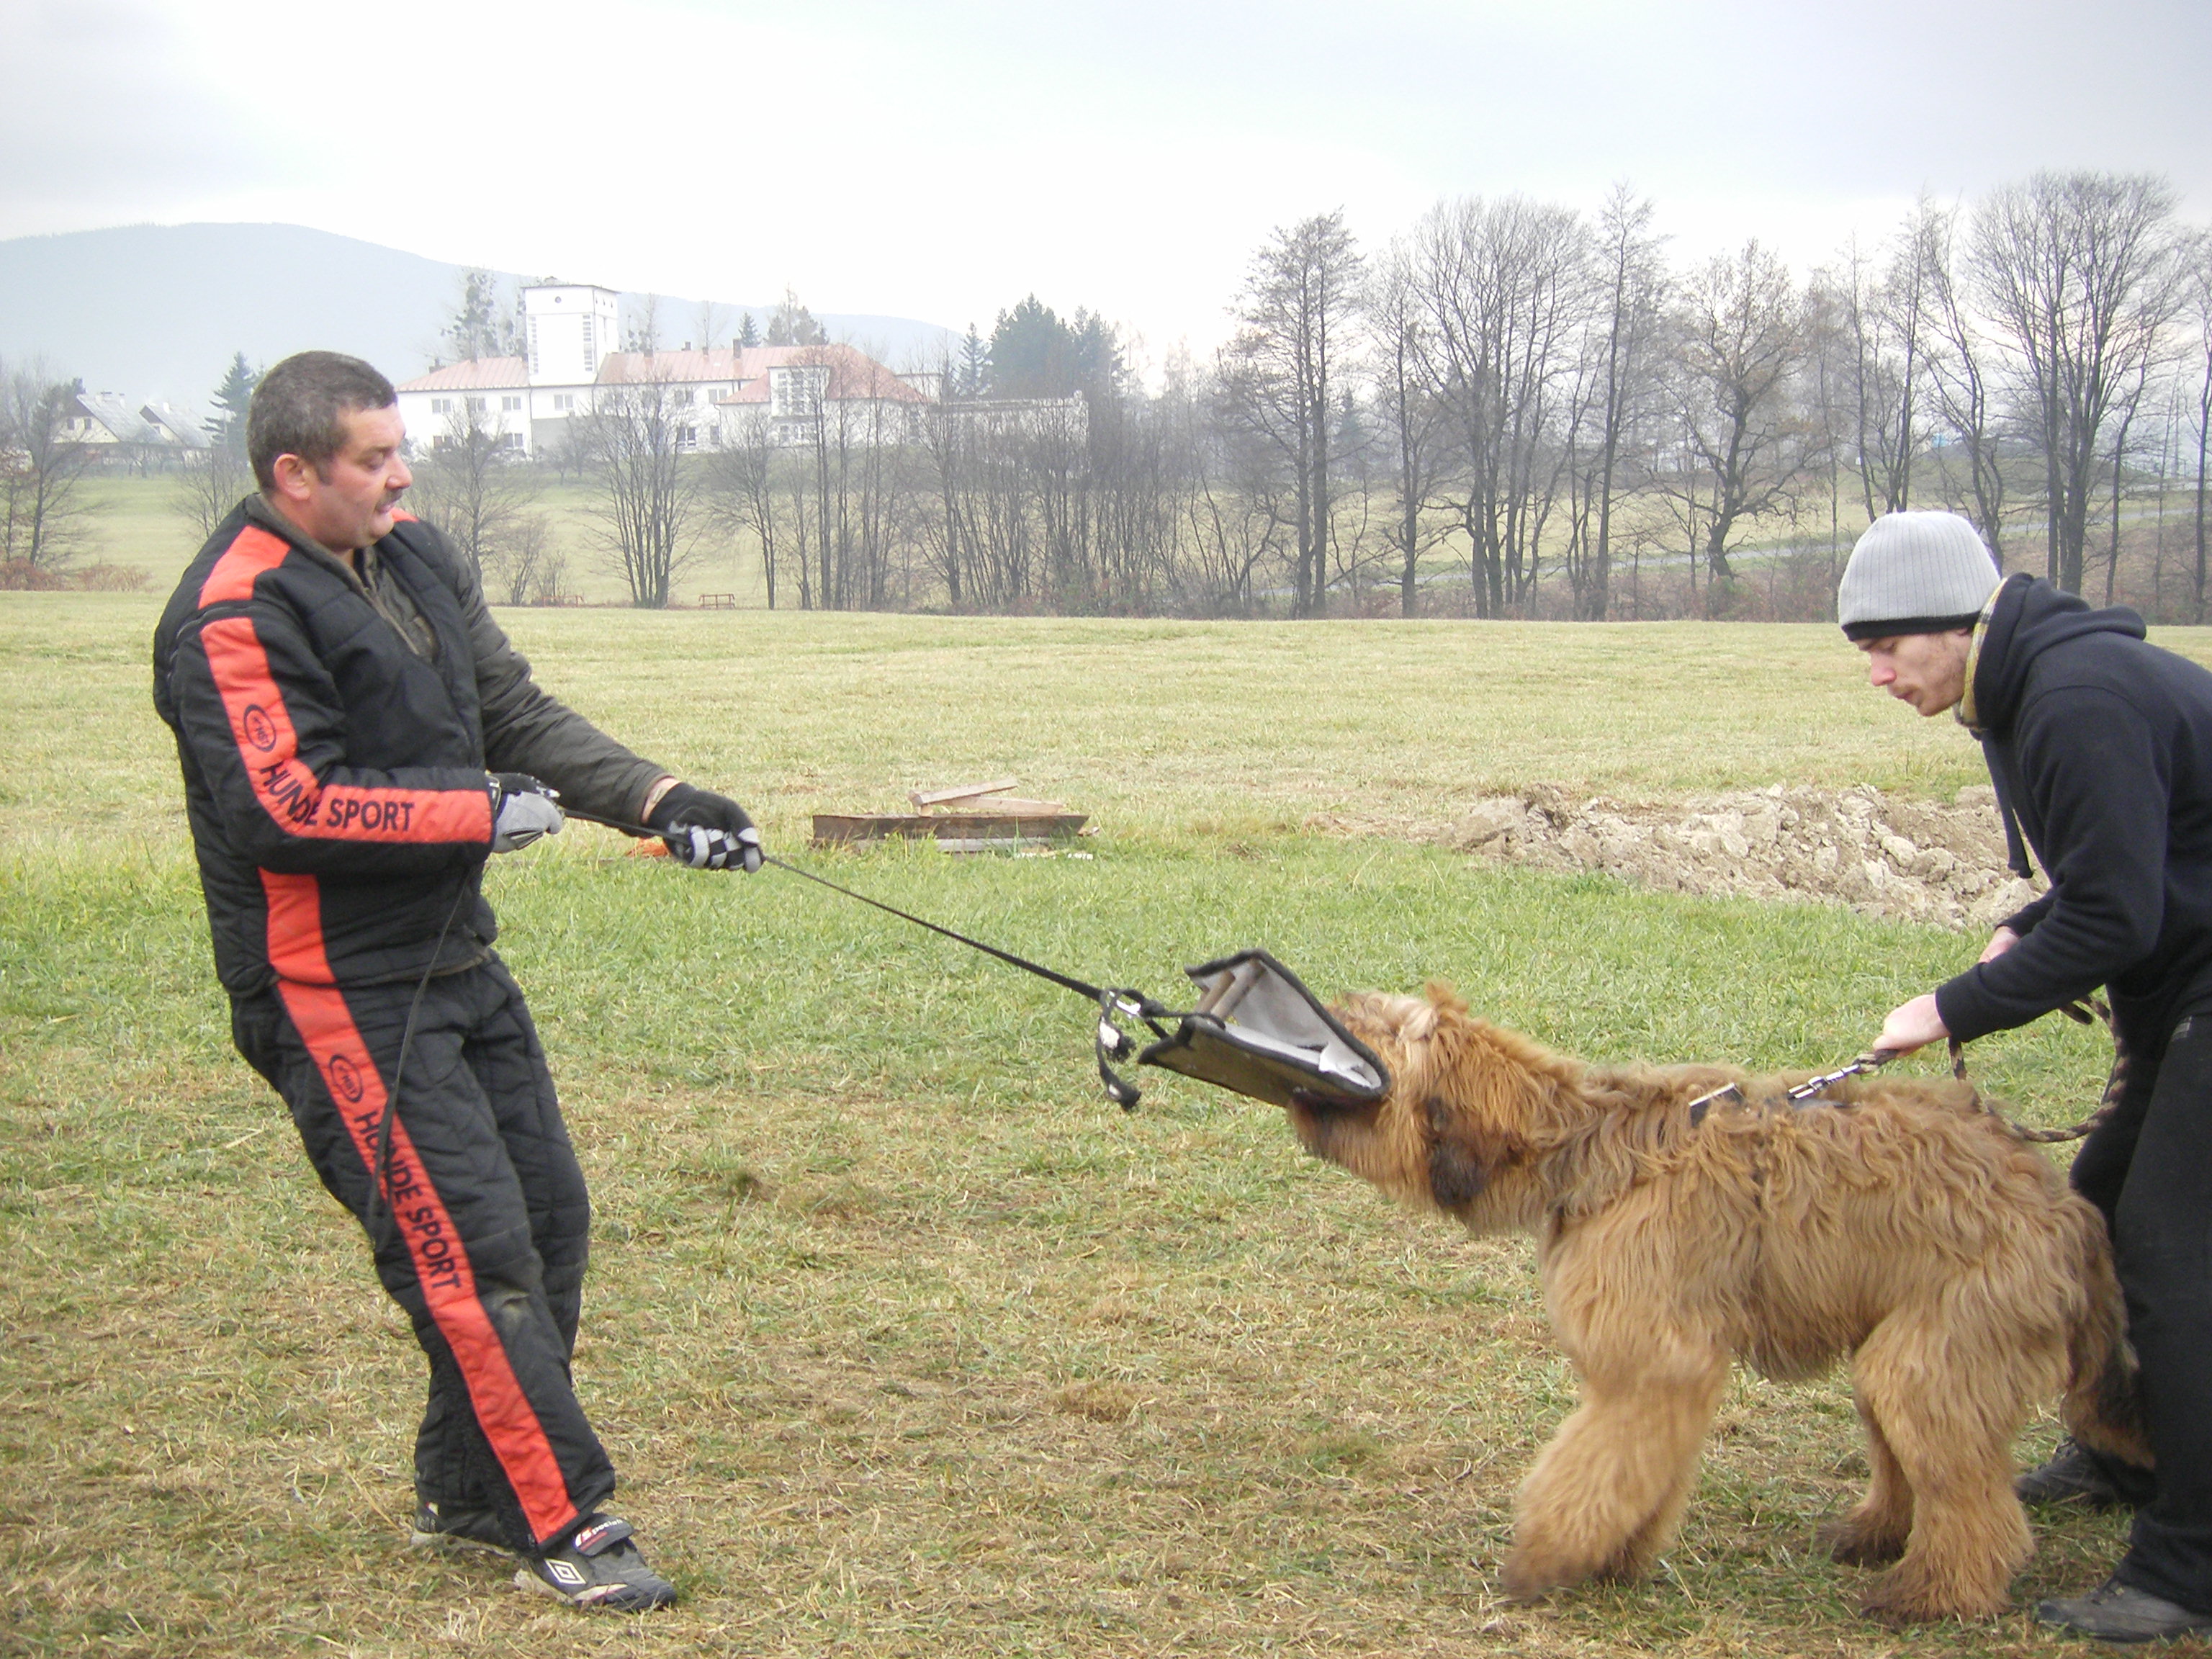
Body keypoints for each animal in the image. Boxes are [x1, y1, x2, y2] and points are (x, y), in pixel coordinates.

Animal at [1292, 986, 2149, 1627]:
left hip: (1936, 1352)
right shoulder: (1656, 1376)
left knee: (1976, 1504)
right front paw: (1617, 1556)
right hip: (1909, 1347)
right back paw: (1872, 1534)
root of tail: (2069, 1212)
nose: (1316, 1023)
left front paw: (1547, 1558)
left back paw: (1932, 1594)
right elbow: (1638, 1470)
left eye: (1376, 1031)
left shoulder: (1655, 1363)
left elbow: (1595, 1467)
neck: (1581, 1141)